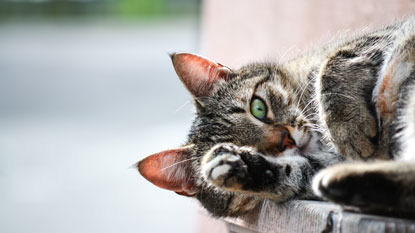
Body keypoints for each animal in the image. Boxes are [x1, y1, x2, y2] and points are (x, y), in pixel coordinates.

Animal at [138, 17, 415, 217]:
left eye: (258, 108)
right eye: (245, 145)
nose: (287, 141)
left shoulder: (379, 37)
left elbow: (333, 63)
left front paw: (347, 129)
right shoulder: (319, 164)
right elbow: (296, 172)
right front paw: (238, 165)